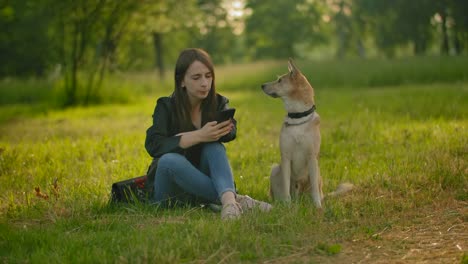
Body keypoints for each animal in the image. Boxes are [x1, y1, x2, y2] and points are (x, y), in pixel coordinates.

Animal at [262, 58, 352, 208]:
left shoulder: (311, 157)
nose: (262, 85)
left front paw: (318, 207)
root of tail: (299, 199)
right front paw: (287, 206)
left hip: (317, 173)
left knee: (317, 190)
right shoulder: (285, 157)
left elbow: (315, 189)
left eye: (280, 80)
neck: (298, 117)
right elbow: (286, 187)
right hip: (275, 170)